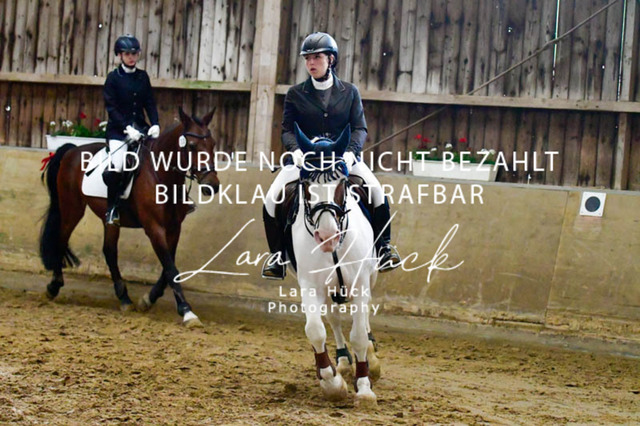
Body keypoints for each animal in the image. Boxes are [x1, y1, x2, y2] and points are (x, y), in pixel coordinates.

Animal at [39, 107, 219, 327]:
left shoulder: (174, 228)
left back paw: (124, 298)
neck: (162, 175)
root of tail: (71, 151)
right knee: (61, 238)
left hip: (108, 220)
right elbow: (171, 268)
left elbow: (168, 268)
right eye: (192, 146)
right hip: (72, 208)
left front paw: (148, 300)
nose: (213, 185)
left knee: (109, 251)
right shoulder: (154, 228)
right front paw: (187, 311)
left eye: (213, 144)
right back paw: (53, 287)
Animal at [280, 123, 382, 407]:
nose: (327, 236)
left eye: (343, 182)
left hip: (370, 277)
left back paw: (371, 356)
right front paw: (332, 382)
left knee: (364, 316)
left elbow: (359, 334)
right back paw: (343, 360)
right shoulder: (310, 285)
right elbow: (315, 330)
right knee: (333, 318)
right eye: (306, 184)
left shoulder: (360, 282)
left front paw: (364, 386)